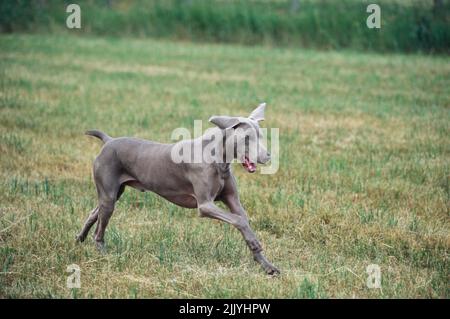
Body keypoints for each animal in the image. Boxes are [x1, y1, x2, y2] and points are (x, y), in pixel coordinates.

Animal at [76, 104, 282, 276]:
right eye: (246, 138)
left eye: (261, 136)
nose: (267, 156)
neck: (218, 159)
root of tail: (108, 141)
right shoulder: (205, 205)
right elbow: (240, 220)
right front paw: (256, 245)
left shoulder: (233, 201)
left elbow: (243, 219)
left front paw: (267, 265)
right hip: (109, 193)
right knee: (99, 230)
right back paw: (103, 254)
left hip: (114, 192)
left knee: (94, 213)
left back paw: (79, 239)